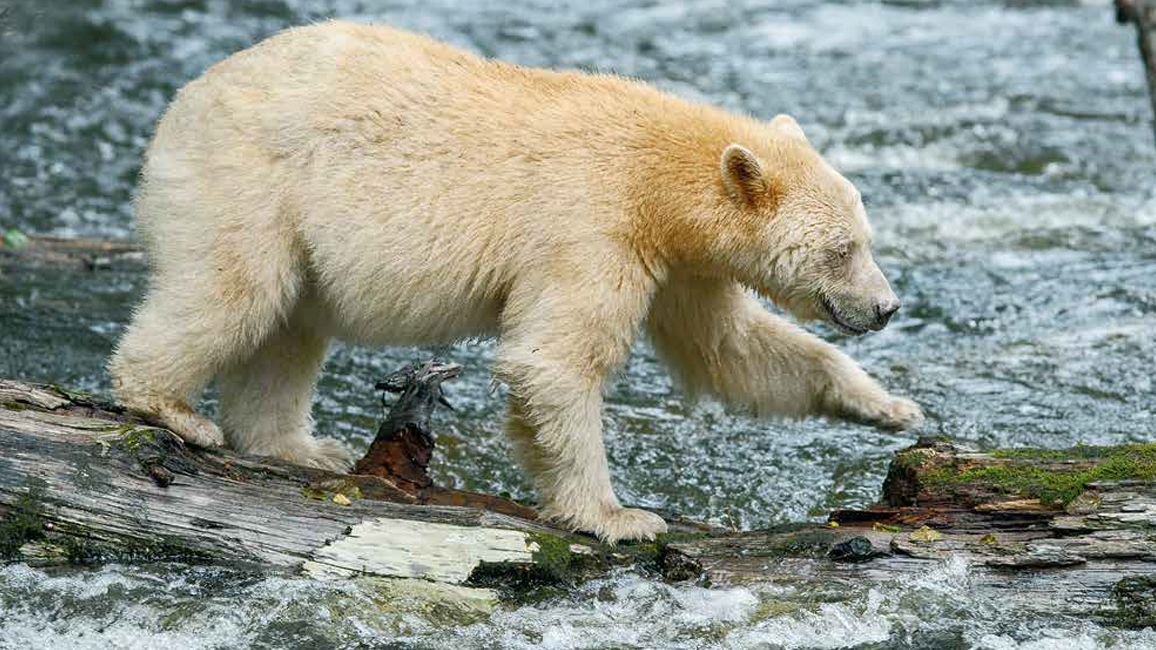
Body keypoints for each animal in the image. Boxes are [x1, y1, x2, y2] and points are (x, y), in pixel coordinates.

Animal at [108, 21, 920, 541]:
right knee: (235, 292)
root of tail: (184, 99)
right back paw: (171, 409)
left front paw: (889, 407)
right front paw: (619, 518)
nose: (885, 308)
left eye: (867, 239)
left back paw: (299, 447)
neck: (660, 179)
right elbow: (554, 361)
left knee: (291, 326)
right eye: (842, 250)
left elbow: (726, 348)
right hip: (251, 182)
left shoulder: (681, 263)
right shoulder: (592, 227)